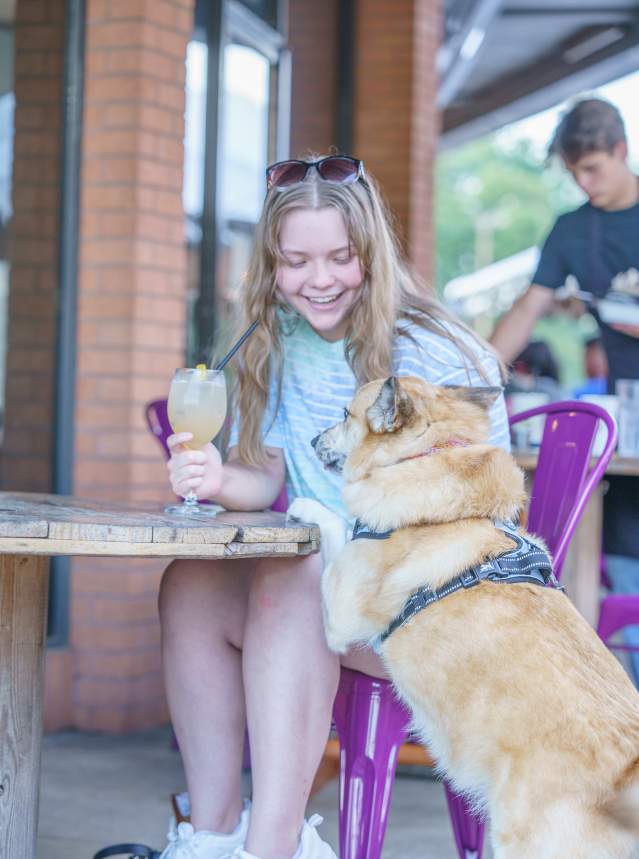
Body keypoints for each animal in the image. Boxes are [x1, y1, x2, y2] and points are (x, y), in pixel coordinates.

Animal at [314, 378, 639, 859]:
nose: (312, 440)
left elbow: (330, 528)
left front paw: (301, 510)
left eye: (344, 414)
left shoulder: (340, 602)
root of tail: (622, 778)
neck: (424, 455)